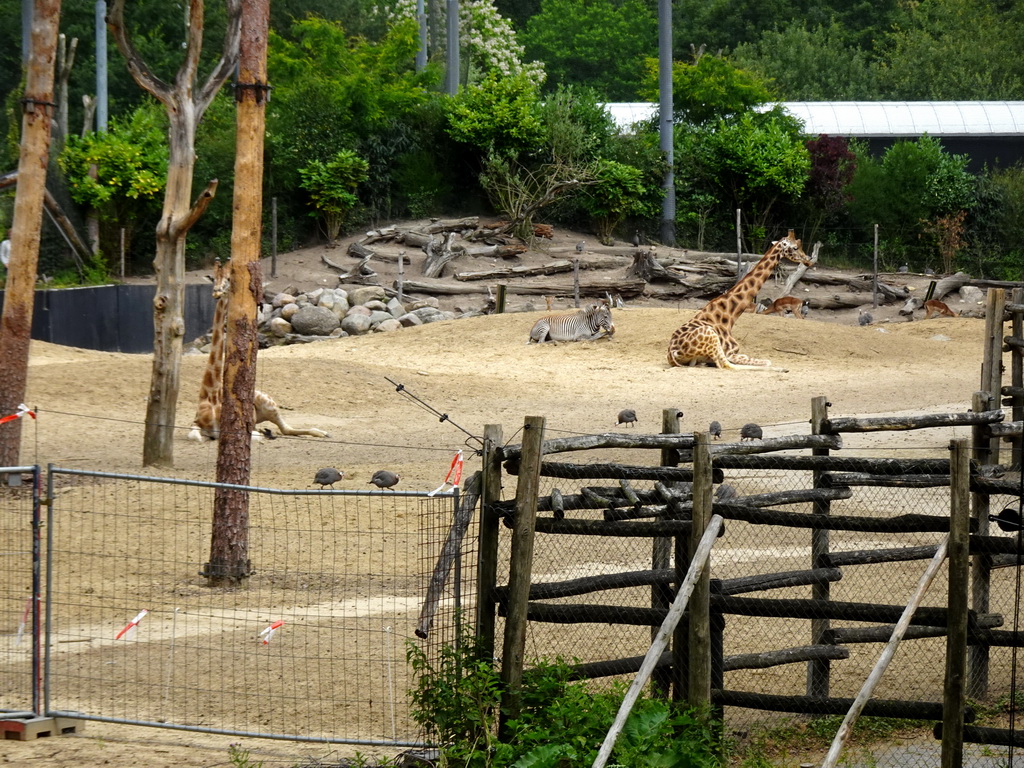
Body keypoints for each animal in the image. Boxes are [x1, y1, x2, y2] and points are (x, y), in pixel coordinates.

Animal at [186, 259, 325, 442]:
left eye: (228, 279)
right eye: (213, 278)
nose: (216, 293)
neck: (210, 397)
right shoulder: (197, 424)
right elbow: (194, 435)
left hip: (268, 403)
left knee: (285, 428)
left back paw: (322, 432)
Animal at [663, 231, 815, 370]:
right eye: (795, 247)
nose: (809, 260)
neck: (730, 315)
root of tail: (672, 353)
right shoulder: (730, 352)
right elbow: (765, 361)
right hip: (711, 338)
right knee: (729, 366)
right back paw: (782, 369)